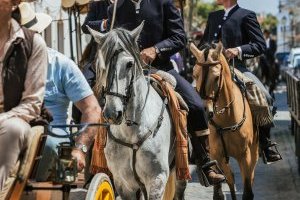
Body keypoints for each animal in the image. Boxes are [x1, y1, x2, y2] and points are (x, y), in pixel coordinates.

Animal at [86, 22, 186, 199]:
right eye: (100, 65)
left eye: (129, 64)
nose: (112, 113)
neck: (131, 132)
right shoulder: (124, 184)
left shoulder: (157, 180)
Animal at [191, 42, 258, 200]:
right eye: (194, 75)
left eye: (216, 78)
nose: (204, 111)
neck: (226, 118)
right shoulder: (217, 155)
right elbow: (222, 188)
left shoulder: (245, 155)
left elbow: (247, 190)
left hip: (254, 152)